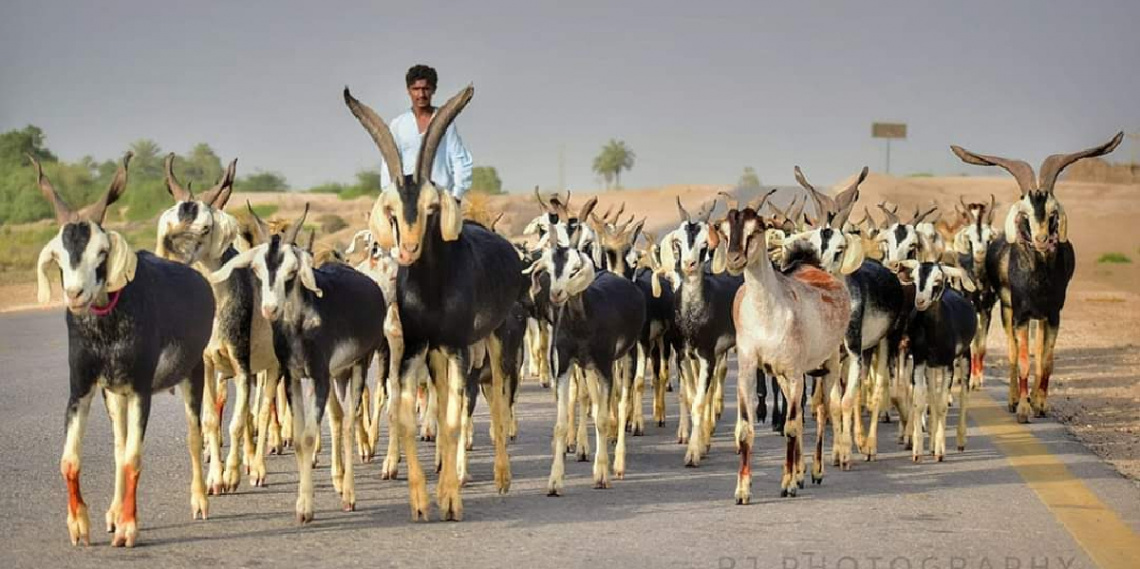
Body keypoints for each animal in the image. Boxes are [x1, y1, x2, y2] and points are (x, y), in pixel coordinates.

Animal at [32, 152, 214, 547]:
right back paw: (113, 513)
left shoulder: (140, 388)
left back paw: (200, 501)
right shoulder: (83, 387)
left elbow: (134, 457)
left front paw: (130, 528)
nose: (75, 295)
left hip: (193, 373)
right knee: (118, 445)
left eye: (102, 251)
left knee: (194, 436)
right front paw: (80, 526)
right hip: (113, 394)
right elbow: (72, 459)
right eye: (59, 255)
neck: (107, 328)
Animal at [526, 247, 652, 492]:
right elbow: (561, 423)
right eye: (549, 271)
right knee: (593, 401)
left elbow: (603, 419)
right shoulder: (565, 365)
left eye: (575, 269)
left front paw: (602, 475)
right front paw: (555, 481)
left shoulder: (604, 365)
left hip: (627, 354)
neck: (582, 321)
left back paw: (619, 464)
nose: (556, 293)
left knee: (622, 404)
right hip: (588, 368)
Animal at [715, 189, 852, 501]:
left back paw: (814, 472)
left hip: (828, 366)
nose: (735, 259)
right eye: (725, 230)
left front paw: (787, 484)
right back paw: (799, 473)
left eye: (756, 230)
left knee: (823, 410)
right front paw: (743, 490)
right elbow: (746, 429)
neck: (768, 313)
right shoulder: (750, 369)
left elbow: (790, 426)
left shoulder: (795, 372)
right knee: (801, 415)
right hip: (784, 375)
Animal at [893, 262, 975, 462]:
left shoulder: (948, 365)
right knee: (932, 396)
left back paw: (960, 441)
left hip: (965, 355)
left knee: (963, 393)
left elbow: (943, 404)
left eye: (937, 281)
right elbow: (920, 402)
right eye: (914, 281)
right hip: (930, 367)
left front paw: (939, 451)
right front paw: (917, 450)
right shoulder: (920, 361)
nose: (920, 301)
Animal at [953, 131, 1121, 421]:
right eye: (1026, 214)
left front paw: (1040, 404)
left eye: (1053, 213)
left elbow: (1046, 360)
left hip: (1039, 318)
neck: (1039, 279)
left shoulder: (1053, 314)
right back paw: (1013, 399)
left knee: (1039, 351)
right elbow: (1021, 360)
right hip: (1007, 310)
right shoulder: (1020, 314)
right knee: (1011, 352)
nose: (1042, 240)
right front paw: (1022, 408)